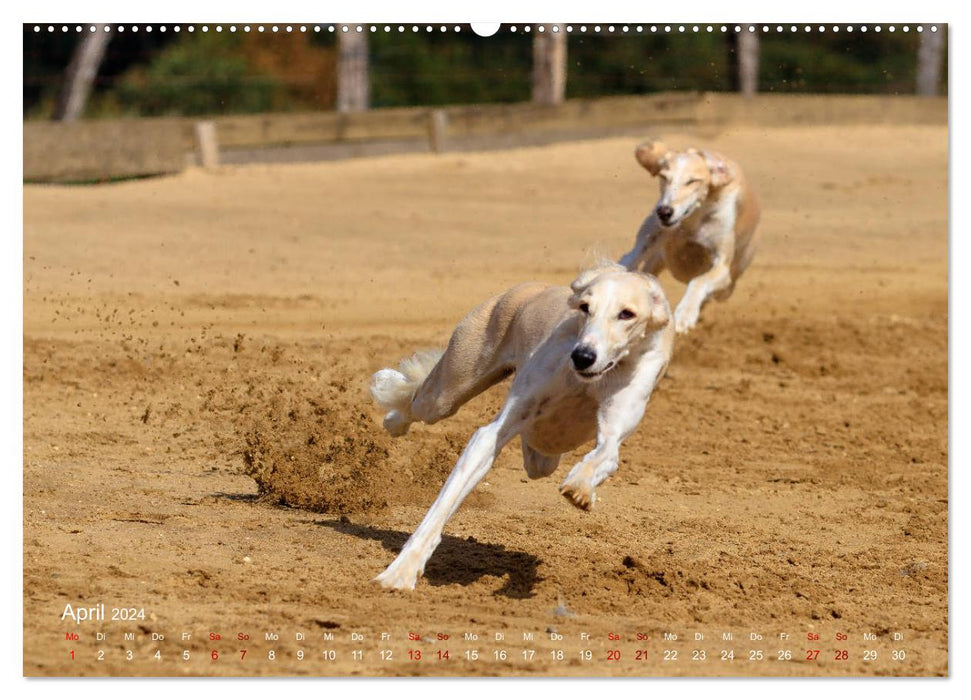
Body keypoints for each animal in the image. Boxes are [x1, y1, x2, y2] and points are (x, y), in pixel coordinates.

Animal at [368, 262, 672, 592]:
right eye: (585, 308)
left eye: (626, 313)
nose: (582, 357)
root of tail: (530, 287)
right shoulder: (494, 431)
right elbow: (443, 504)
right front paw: (400, 572)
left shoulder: (615, 426)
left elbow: (605, 454)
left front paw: (580, 489)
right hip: (448, 390)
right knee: (419, 399)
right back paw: (391, 412)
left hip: (544, 451)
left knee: (541, 451)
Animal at [620, 141, 764, 334]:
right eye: (664, 177)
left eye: (692, 181)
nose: (664, 212)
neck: (693, 220)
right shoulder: (653, 235)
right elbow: (630, 259)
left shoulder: (723, 268)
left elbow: (699, 281)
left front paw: (685, 314)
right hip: (657, 250)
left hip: (729, 283)